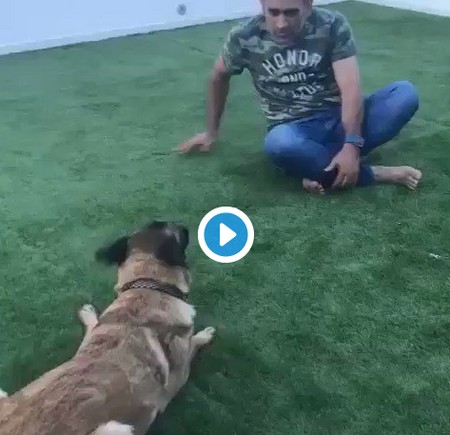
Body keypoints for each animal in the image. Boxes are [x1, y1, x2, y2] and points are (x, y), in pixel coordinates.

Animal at [0, 220, 215, 434]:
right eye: (174, 228)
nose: (185, 226)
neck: (146, 288)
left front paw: (88, 313)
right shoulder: (179, 377)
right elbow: (193, 343)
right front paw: (205, 335)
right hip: (117, 428)